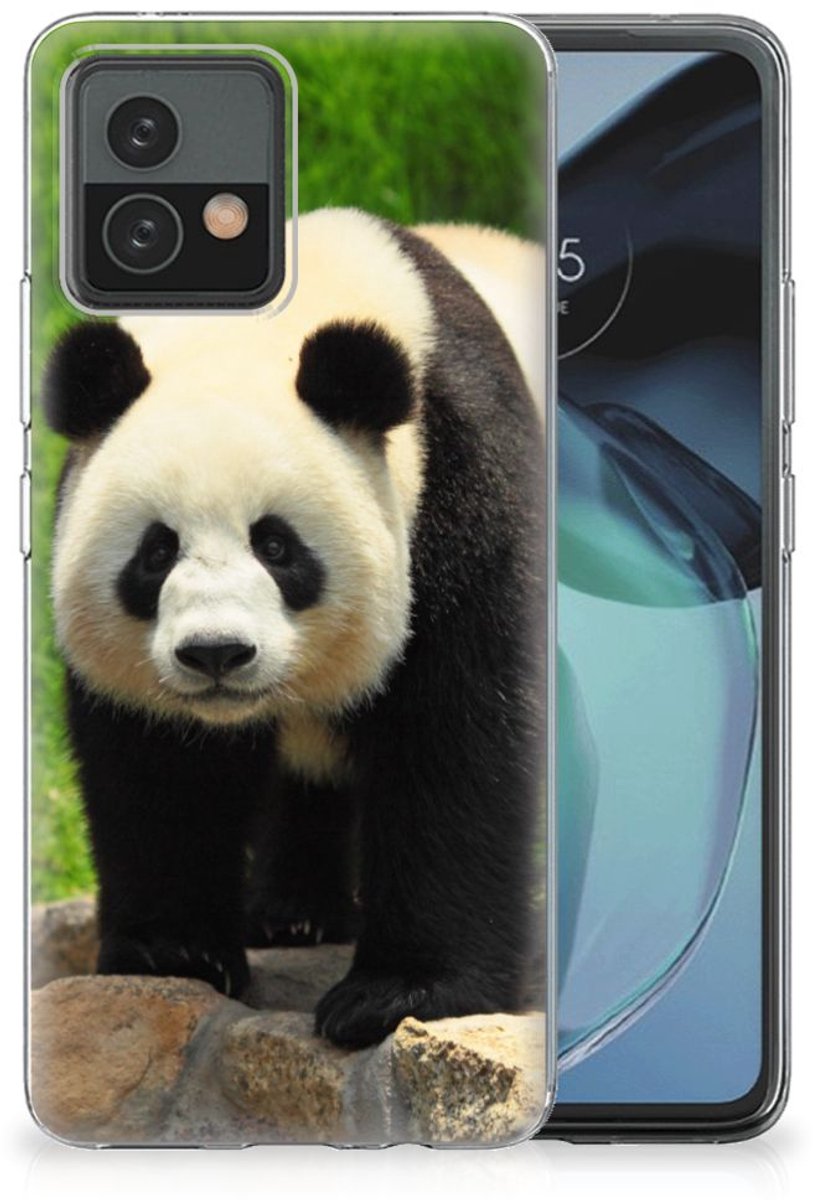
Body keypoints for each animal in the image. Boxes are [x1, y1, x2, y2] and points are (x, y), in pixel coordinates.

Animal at [43, 207, 547, 1049]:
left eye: (276, 546)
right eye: (156, 551)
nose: (216, 653)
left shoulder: (464, 488)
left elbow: (457, 736)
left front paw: (399, 993)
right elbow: (158, 766)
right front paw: (174, 952)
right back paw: (292, 914)